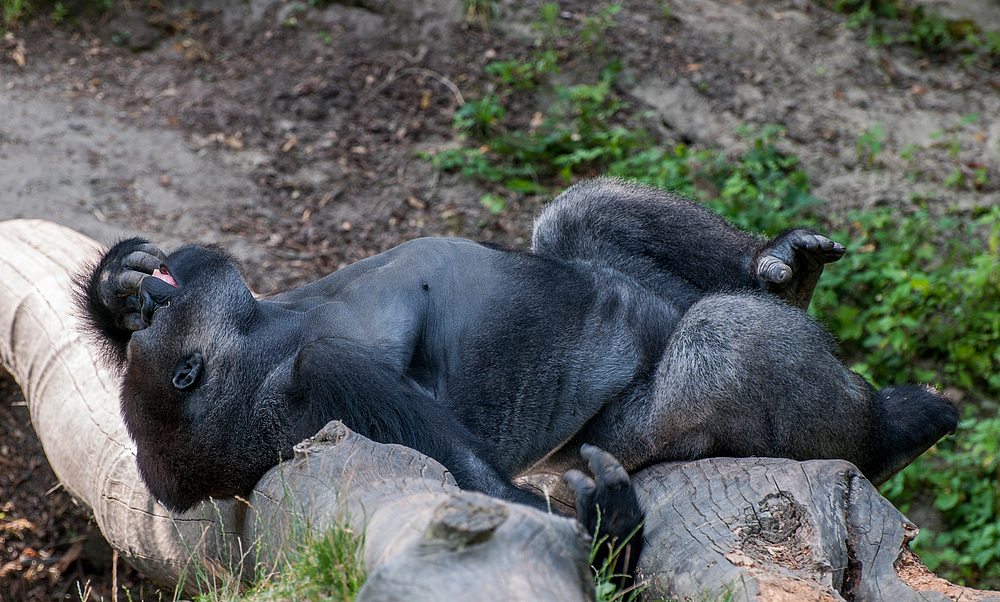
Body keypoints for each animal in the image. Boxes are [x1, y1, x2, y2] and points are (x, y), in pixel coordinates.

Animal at [80, 177, 960, 576]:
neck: (272, 331)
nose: (153, 305)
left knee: (584, 212)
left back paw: (781, 272)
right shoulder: (329, 380)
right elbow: (495, 498)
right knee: (721, 340)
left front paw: (116, 287)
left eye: (163, 309)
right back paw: (891, 434)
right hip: (628, 434)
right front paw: (608, 532)